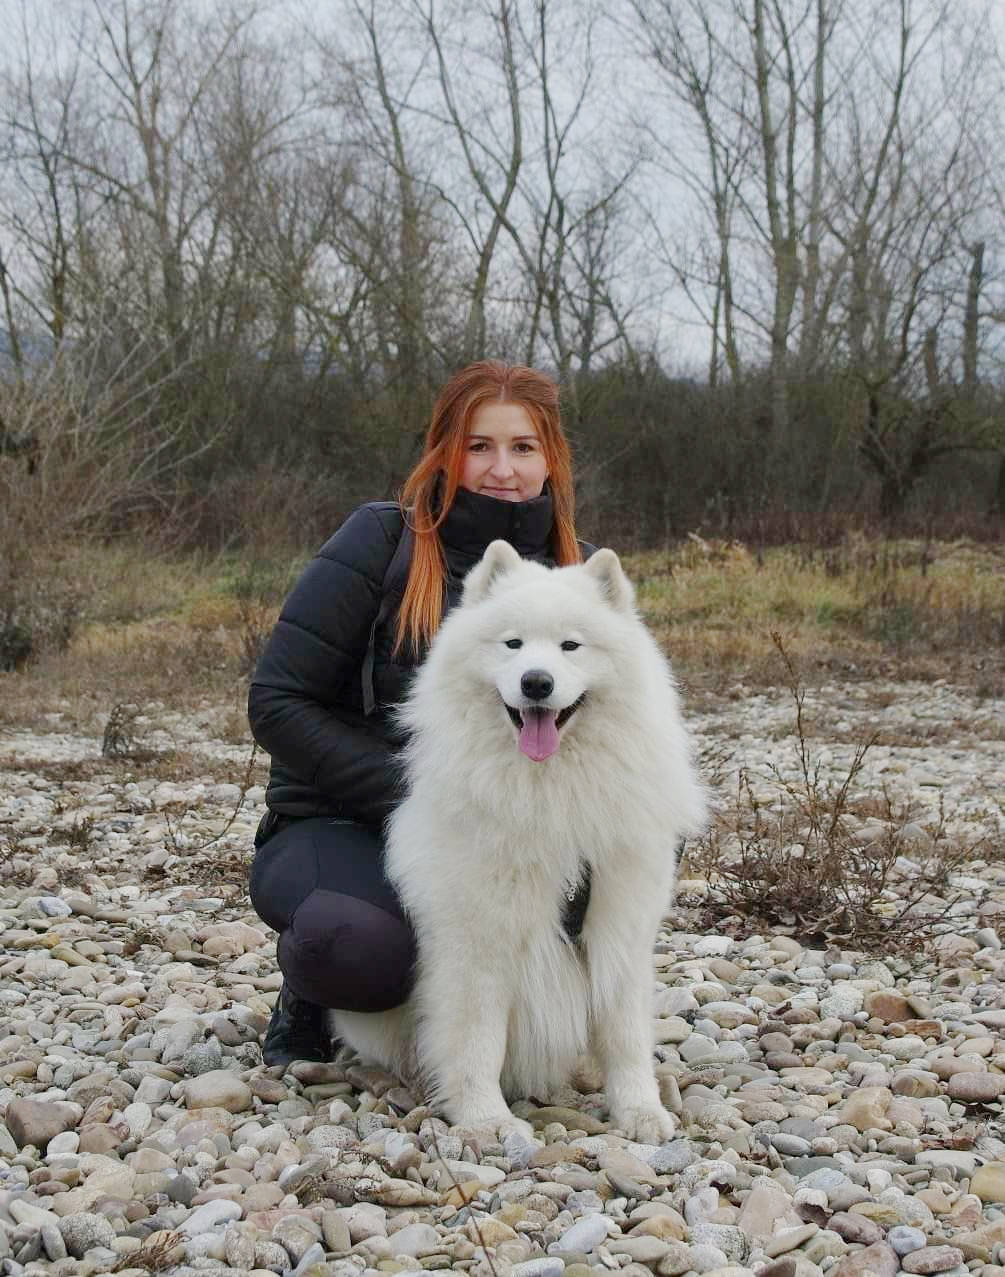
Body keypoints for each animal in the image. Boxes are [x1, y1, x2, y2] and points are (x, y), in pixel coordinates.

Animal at [331, 540, 705, 1143]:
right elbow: (477, 1041)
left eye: (571, 645)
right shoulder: (477, 943)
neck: (549, 789)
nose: (536, 682)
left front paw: (641, 1112)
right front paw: (485, 1120)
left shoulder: (620, 928)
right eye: (512, 644)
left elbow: (625, 1038)